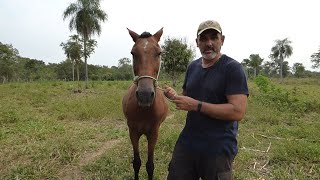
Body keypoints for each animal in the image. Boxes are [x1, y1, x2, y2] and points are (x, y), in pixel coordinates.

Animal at [121, 28, 169, 180]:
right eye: (133, 53)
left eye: (159, 53)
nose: (145, 95)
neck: (144, 110)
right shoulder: (132, 132)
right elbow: (136, 162)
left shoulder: (153, 134)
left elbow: (150, 165)